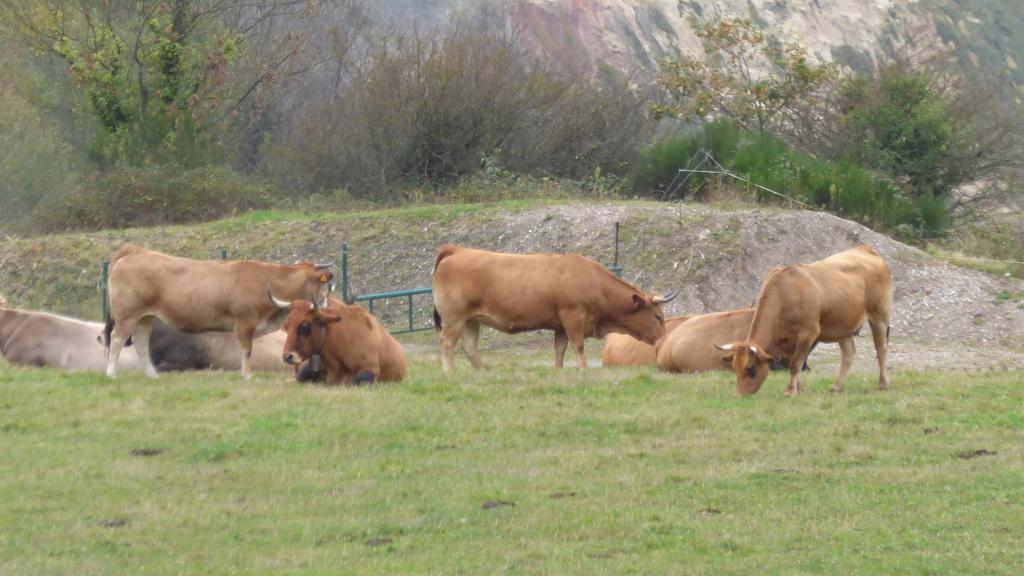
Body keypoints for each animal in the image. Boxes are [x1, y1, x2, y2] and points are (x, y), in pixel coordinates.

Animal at [101, 244, 332, 380]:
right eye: (320, 283)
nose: (325, 302)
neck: (267, 281)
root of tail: (136, 251)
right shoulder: (244, 322)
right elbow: (246, 350)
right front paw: (247, 376)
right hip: (127, 315)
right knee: (117, 339)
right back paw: (111, 373)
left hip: (145, 317)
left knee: (140, 342)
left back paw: (152, 376)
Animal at [431, 244, 677, 370]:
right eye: (657, 316)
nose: (664, 339)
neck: (595, 282)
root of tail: (457, 250)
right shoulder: (573, 317)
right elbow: (578, 346)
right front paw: (583, 371)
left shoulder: (560, 325)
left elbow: (560, 349)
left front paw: (559, 371)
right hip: (455, 319)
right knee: (447, 343)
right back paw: (450, 372)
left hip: (471, 320)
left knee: (470, 346)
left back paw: (481, 372)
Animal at [716, 245, 892, 397]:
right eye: (734, 368)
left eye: (751, 370)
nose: (739, 395)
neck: (784, 294)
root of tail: (865, 249)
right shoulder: (787, 340)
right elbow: (793, 364)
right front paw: (799, 389)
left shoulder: (808, 334)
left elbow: (795, 363)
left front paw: (790, 391)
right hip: (843, 325)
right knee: (848, 354)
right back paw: (837, 386)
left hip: (879, 315)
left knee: (881, 348)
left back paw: (883, 383)